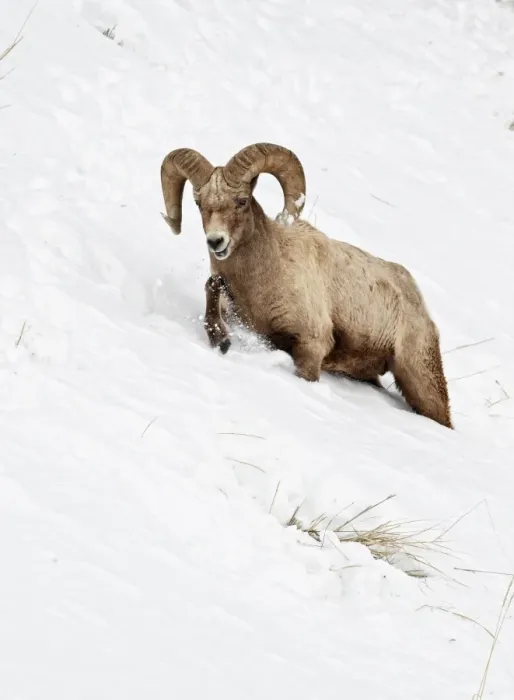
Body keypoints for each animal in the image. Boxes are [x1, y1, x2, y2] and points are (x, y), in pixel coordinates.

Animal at [160, 142, 452, 429]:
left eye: (241, 201)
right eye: (198, 203)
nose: (216, 242)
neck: (260, 282)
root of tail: (416, 298)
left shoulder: (311, 346)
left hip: (421, 381)